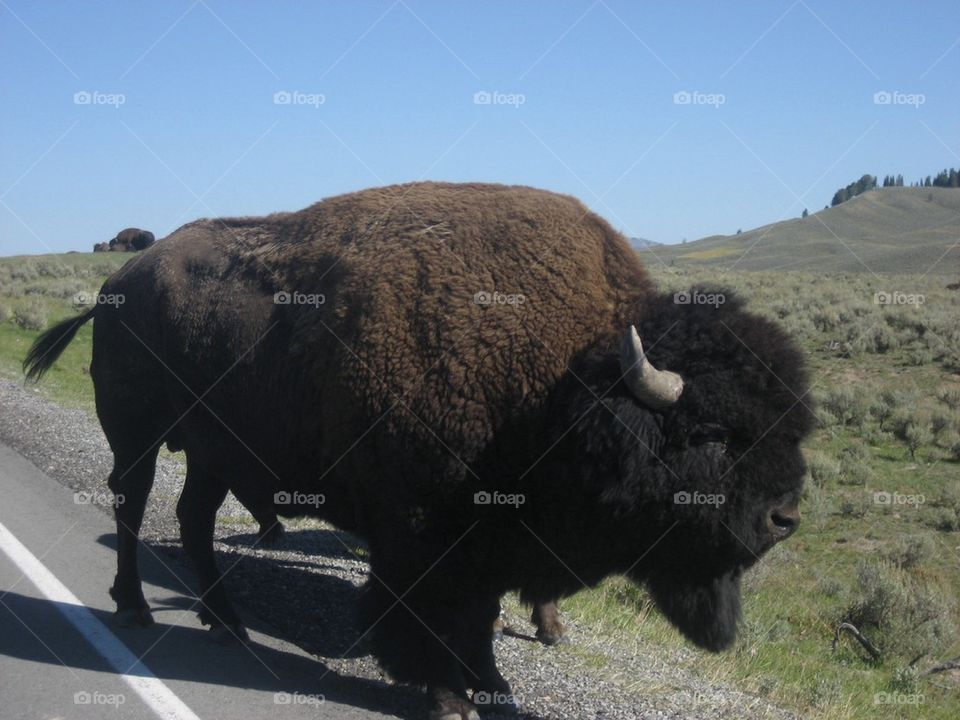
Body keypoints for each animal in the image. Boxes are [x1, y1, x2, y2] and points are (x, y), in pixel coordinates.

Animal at [26, 182, 812, 720]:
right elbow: (434, 616)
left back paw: (228, 624)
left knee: (191, 519)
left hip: (212, 454)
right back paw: (136, 609)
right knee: (131, 507)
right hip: (139, 436)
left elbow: (481, 617)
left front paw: (493, 684)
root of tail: (115, 285)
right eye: (711, 434)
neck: (565, 381)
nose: (784, 519)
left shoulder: (490, 538)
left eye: (791, 428)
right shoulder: (422, 534)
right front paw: (449, 698)